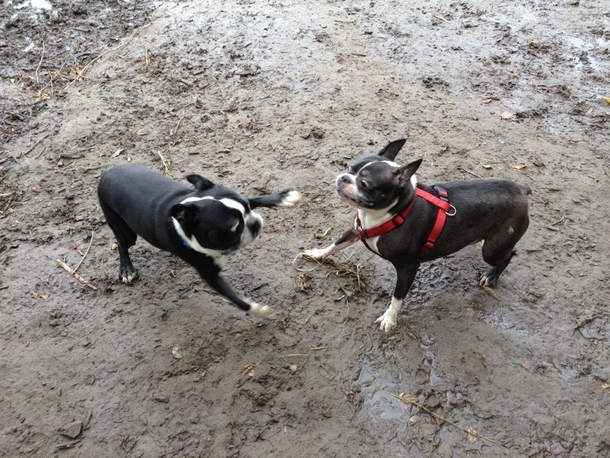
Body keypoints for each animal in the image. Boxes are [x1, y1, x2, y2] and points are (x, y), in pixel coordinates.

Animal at [302, 138, 528, 330]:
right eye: (350, 167)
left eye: (364, 184)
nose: (344, 178)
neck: (384, 214)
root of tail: (522, 190)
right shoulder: (355, 230)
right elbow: (335, 244)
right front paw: (317, 254)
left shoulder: (408, 267)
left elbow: (397, 297)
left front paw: (389, 319)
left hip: (493, 250)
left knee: (510, 254)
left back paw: (491, 276)